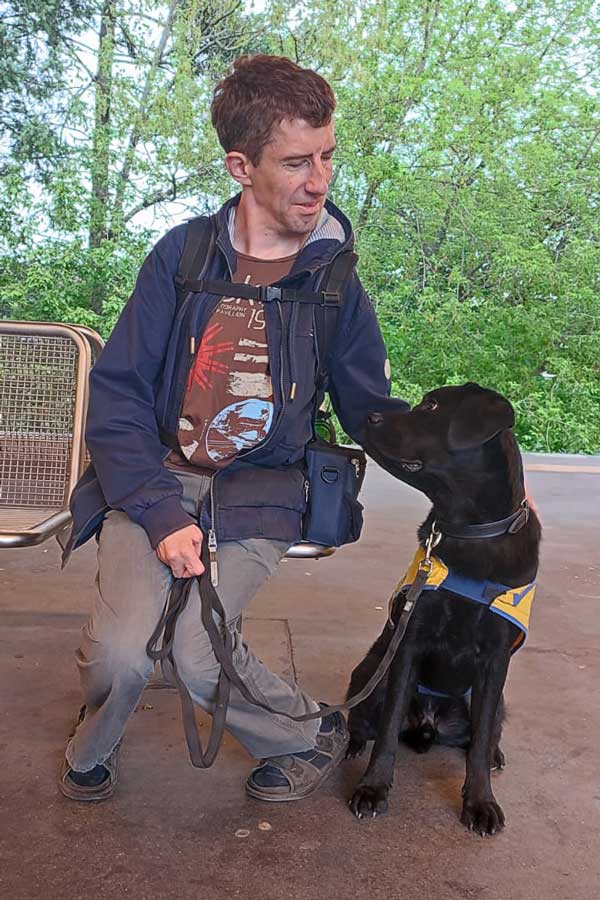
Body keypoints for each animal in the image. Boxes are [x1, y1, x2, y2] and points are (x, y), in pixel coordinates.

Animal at [344, 382, 540, 836]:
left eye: (431, 406)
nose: (369, 417)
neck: (472, 533)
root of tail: (430, 723)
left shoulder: (495, 660)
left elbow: (481, 740)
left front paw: (481, 802)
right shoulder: (409, 644)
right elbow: (387, 730)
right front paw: (373, 788)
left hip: (494, 702)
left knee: (484, 734)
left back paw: (495, 755)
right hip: (372, 674)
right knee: (363, 721)